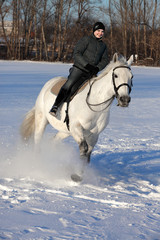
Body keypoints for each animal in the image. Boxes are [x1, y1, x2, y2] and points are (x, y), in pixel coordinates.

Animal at [21, 53, 134, 181]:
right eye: (116, 75)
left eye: (131, 77)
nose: (125, 100)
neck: (95, 103)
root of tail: (49, 83)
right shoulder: (76, 128)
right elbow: (83, 149)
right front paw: (76, 175)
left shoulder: (94, 134)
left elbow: (88, 154)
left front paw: (79, 175)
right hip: (42, 120)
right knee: (38, 139)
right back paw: (36, 164)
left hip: (65, 131)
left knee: (54, 141)